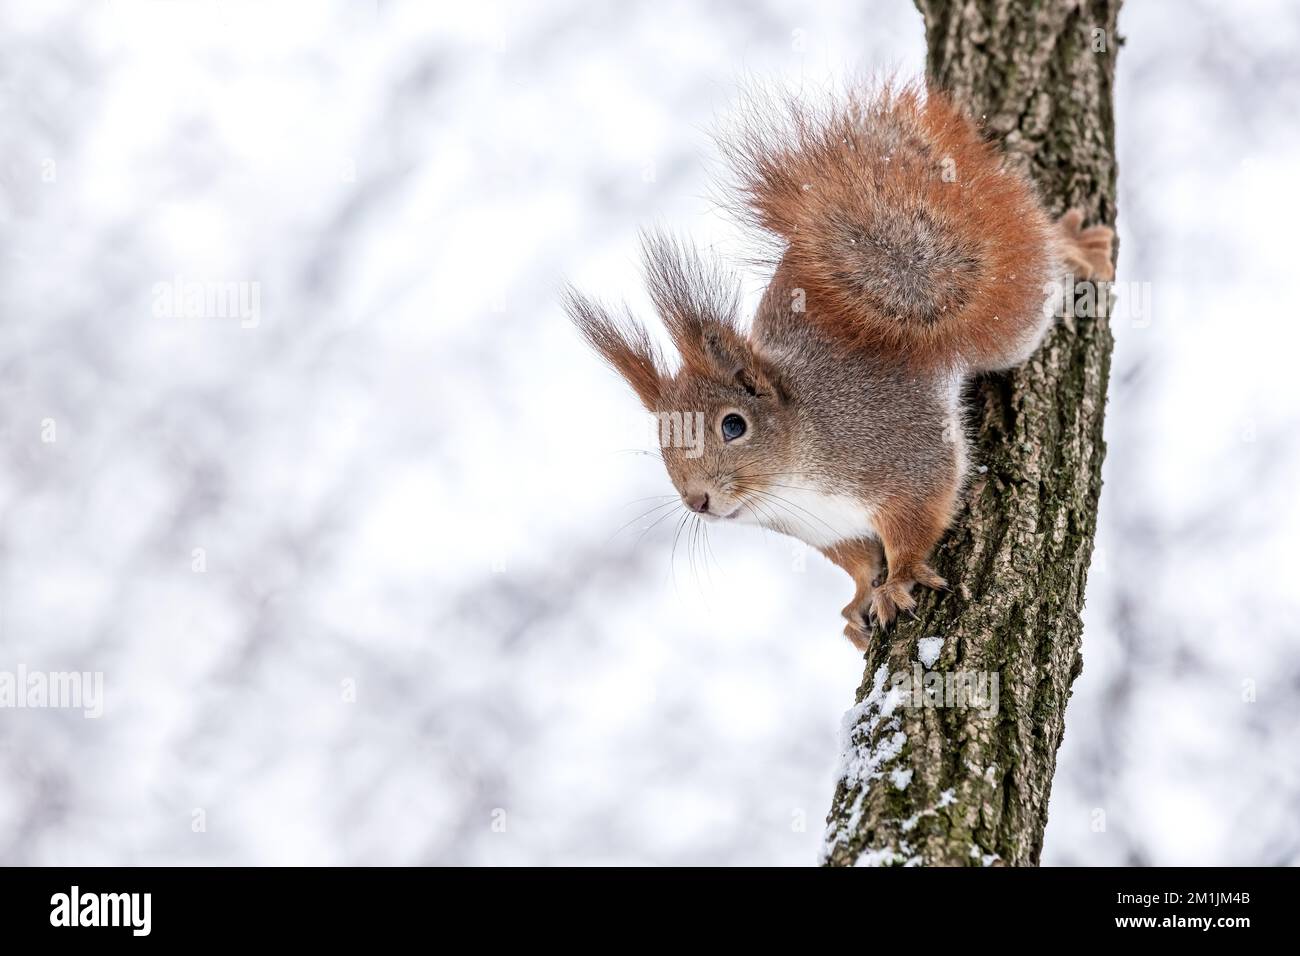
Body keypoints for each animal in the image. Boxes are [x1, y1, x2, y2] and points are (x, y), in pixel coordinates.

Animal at [563, 81, 1114, 651]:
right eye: (661, 441)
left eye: (734, 425)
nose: (698, 501)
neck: (791, 479)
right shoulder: (829, 530)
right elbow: (857, 562)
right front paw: (857, 603)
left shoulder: (899, 454)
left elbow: (919, 518)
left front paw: (897, 581)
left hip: (1011, 323)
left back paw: (1077, 246)